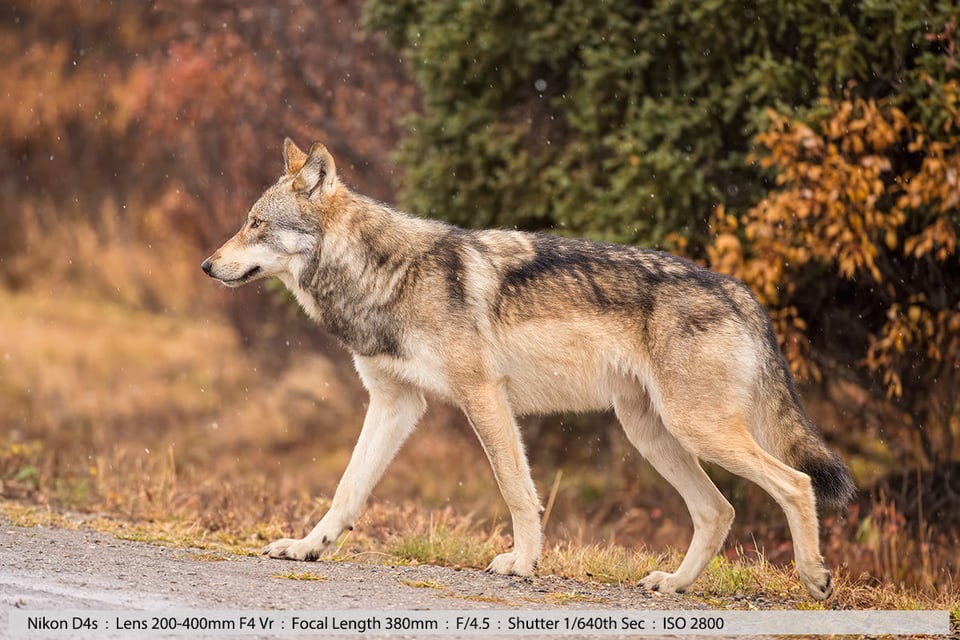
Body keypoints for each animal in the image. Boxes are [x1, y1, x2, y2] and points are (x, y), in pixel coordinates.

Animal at [202, 136, 856, 600]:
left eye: (256, 224)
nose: (208, 266)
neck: (382, 275)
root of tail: (743, 293)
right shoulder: (395, 404)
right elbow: (346, 488)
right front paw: (307, 547)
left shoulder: (483, 395)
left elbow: (516, 490)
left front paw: (523, 563)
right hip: (652, 433)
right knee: (719, 510)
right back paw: (673, 584)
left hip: (696, 429)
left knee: (795, 483)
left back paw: (815, 578)